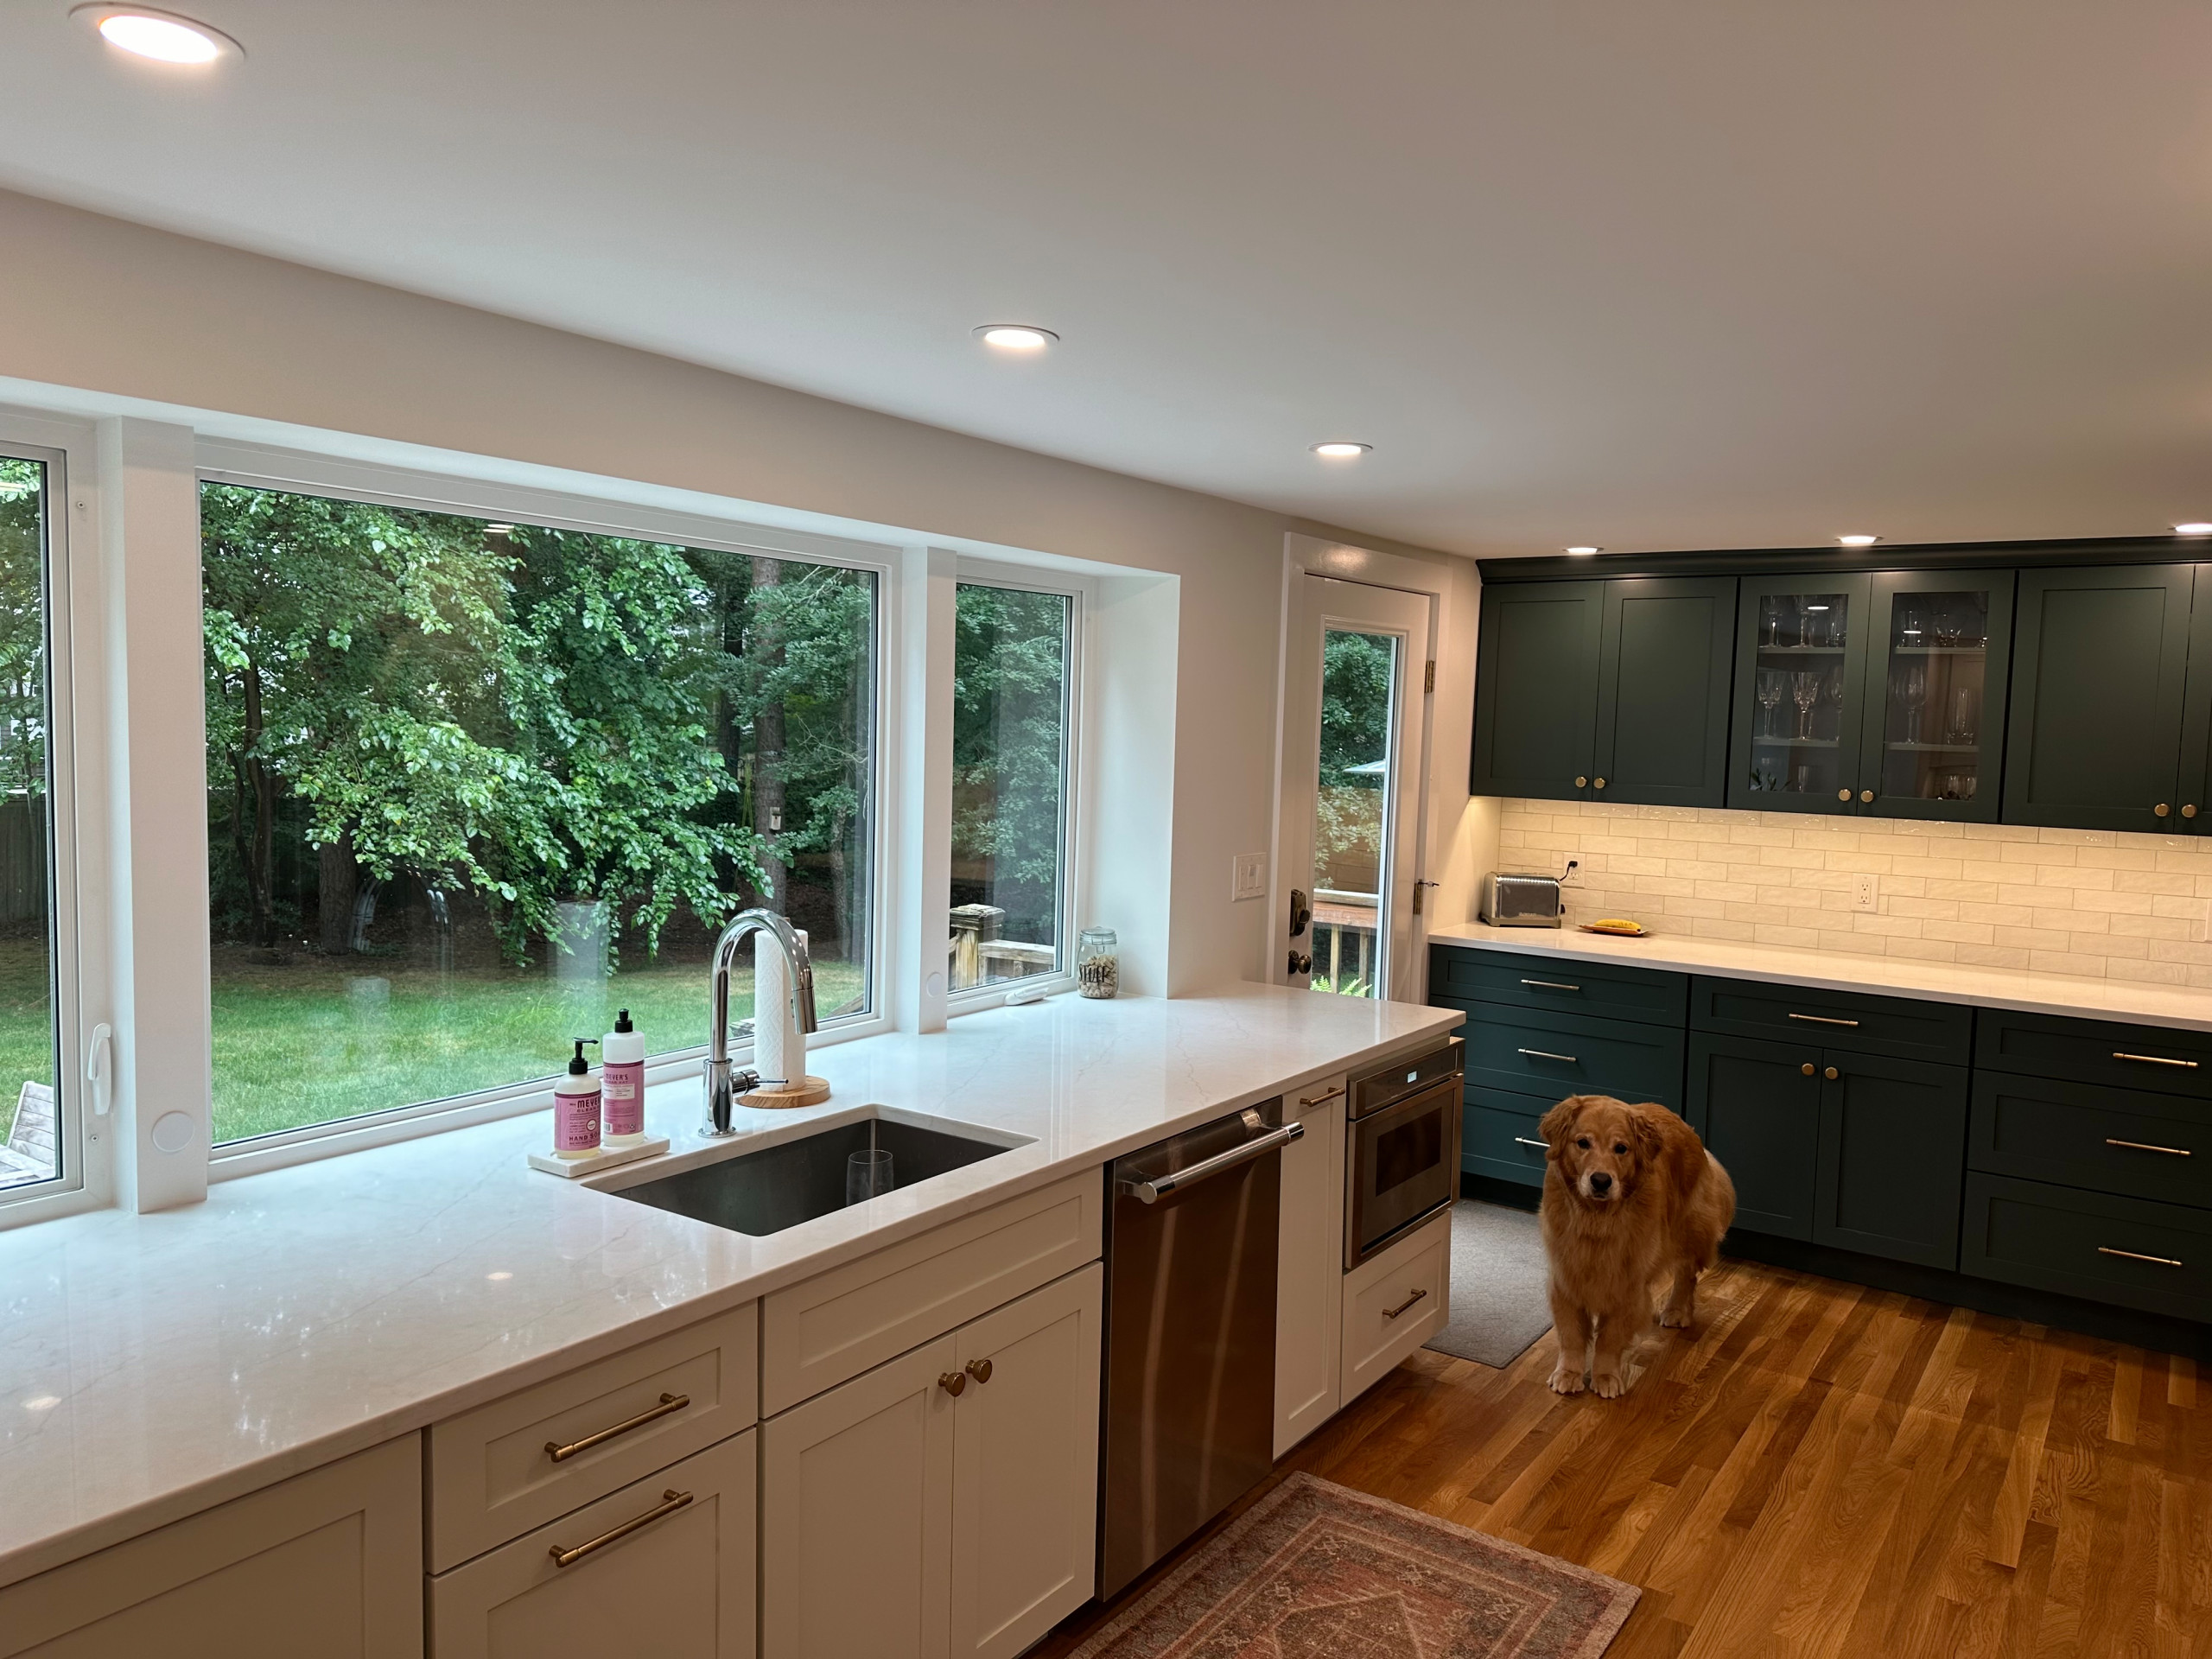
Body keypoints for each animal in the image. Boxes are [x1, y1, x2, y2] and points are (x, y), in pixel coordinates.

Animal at [1539, 1096, 1725, 1397]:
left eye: (1621, 1148)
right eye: (1583, 1143)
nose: (1601, 1181)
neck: (1597, 1219)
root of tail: (1683, 1123)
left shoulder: (1627, 1285)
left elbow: (1610, 1338)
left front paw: (1605, 1376)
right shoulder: (1566, 1276)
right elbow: (1571, 1335)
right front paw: (1568, 1373)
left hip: (1688, 1229)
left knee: (1686, 1273)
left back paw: (1677, 1310)